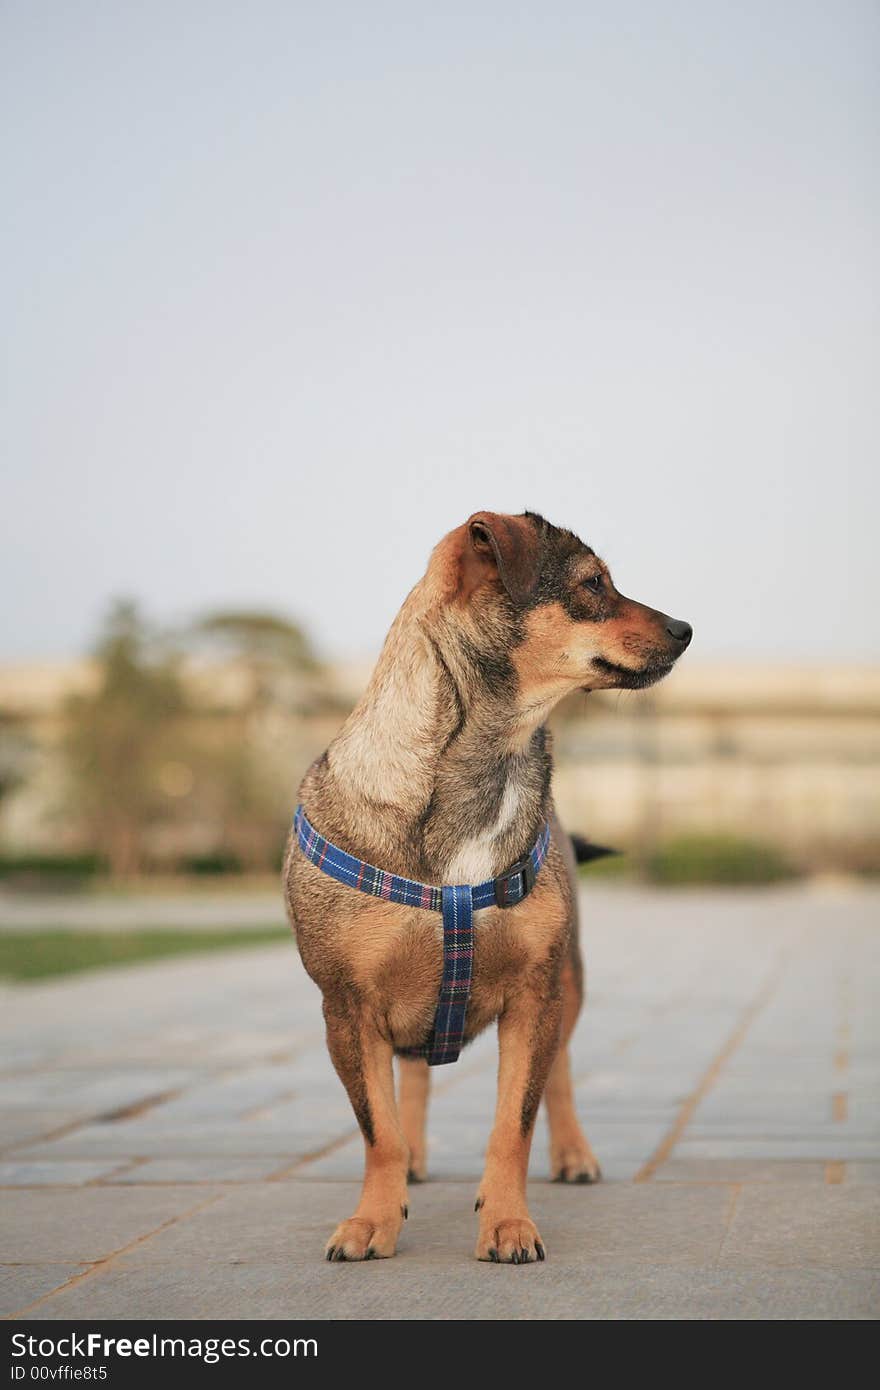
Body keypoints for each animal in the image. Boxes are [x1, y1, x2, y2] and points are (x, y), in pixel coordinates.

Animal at [284, 511, 689, 1262]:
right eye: (594, 584)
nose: (686, 628)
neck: (489, 765)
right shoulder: (347, 1009)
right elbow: (378, 1129)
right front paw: (373, 1219)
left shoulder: (534, 996)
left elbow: (513, 1124)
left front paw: (507, 1223)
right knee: (412, 1078)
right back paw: (416, 1161)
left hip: (570, 982)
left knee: (560, 1074)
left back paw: (574, 1155)